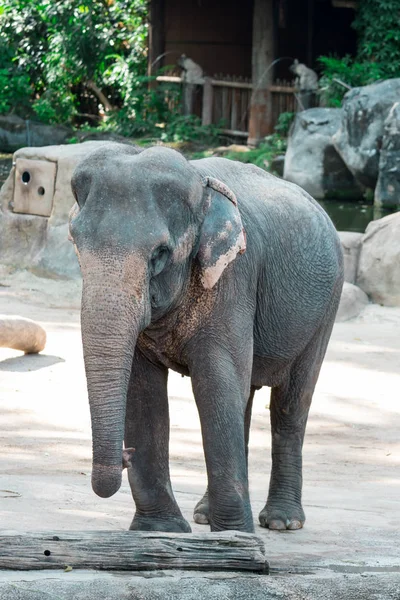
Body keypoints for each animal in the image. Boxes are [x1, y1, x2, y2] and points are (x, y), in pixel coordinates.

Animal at [69, 143, 344, 532]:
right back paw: (203, 514)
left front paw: (235, 537)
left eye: (160, 255)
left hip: (326, 306)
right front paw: (160, 531)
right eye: (76, 245)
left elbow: (216, 383)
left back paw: (282, 522)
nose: (124, 456)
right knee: (245, 399)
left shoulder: (233, 279)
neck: (200, 185)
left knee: (292, 403)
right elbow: (143, 392)